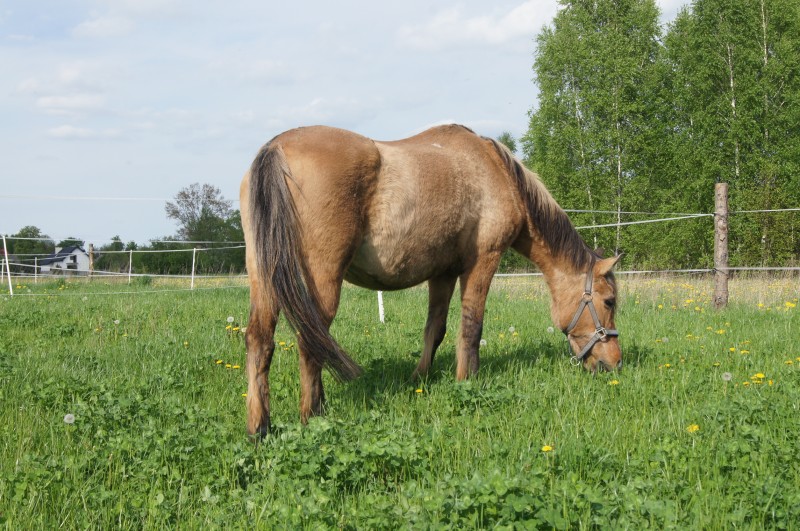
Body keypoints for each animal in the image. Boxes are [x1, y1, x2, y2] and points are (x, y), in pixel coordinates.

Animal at [241, 123, 620, 436]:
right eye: (609, 301)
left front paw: (419, 378)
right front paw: (468, 380)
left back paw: (260, 427)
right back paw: (313, 414)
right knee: (310, 340)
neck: (494, 169)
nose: (613, 363)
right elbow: (471, 327)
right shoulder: (483, 260)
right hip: (322, 278)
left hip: (264, 275)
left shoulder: (443, 273)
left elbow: (434, 329)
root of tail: (275, 147)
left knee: (260, 340)